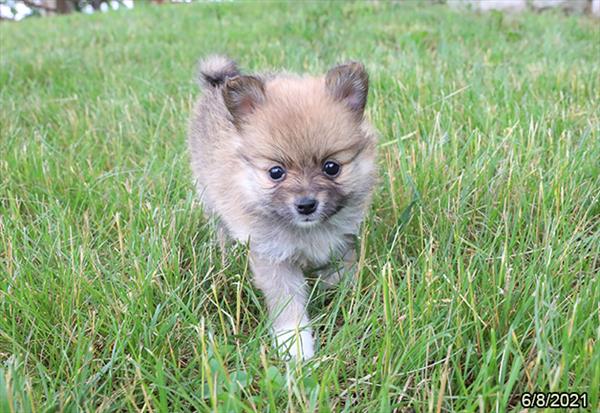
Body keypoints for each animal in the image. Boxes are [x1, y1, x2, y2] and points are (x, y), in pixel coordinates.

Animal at [188, 54, 378, 358]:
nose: (306, 205)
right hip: (211, 200)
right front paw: (297, 348)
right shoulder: (274, 259)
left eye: (331, 167)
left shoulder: (342, 243)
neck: (308, 232)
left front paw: (347, 302)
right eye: (276, 172)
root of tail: (216, 84)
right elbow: (288, 305)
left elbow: (340, 277)